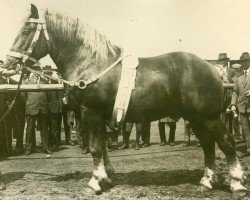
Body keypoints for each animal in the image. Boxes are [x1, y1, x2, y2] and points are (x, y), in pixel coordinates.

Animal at [3, 3, 248, 195]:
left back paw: (237, 184)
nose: (8, 64)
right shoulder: (100, 115)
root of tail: (213, 68)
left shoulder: (90, 112)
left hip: (209, 117)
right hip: (196, 118)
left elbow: (95, 148)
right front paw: (107, 177)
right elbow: (103, 147)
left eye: (27, 29)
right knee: (208, 145)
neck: (91, 63)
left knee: (226, 143)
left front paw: (95, 182)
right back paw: (207, 181)